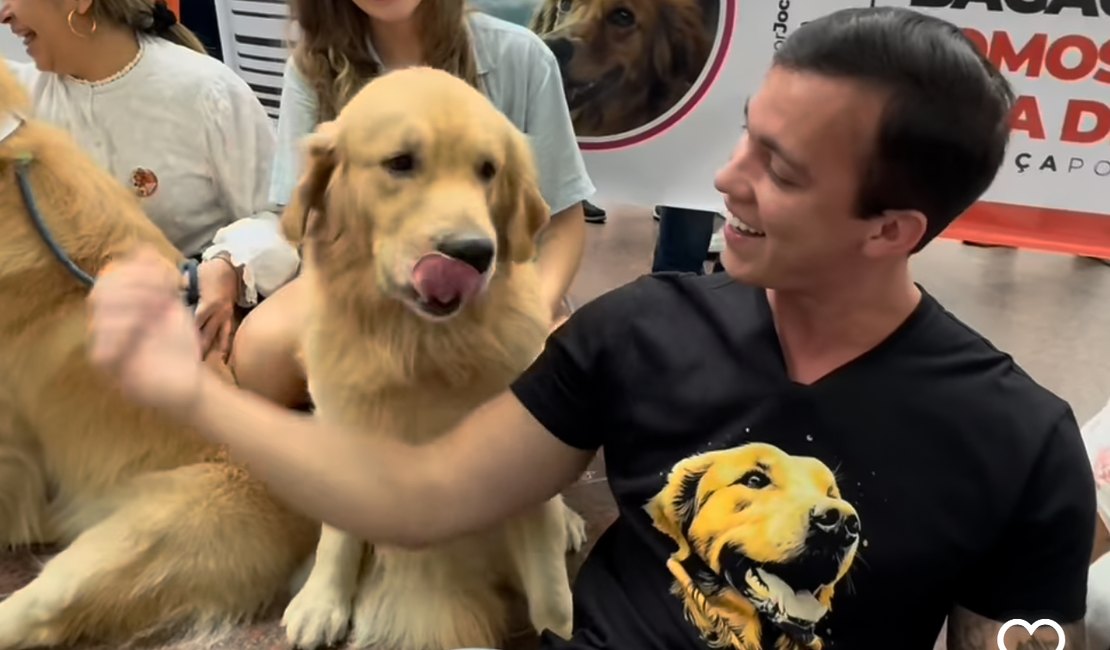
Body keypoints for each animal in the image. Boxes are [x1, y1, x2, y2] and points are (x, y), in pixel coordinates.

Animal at [277, 67, 586, 647]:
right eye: (400, 162)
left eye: (488, 170)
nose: (473, 254)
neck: (421, 347)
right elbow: (338, 533)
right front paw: (322, 600)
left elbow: (551, 590)